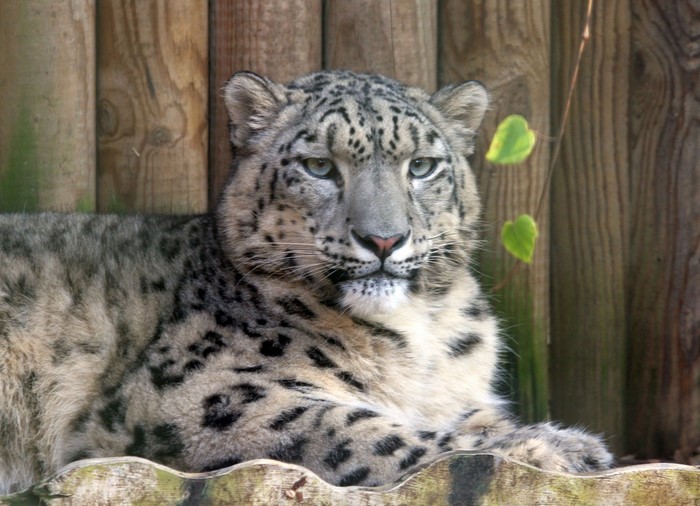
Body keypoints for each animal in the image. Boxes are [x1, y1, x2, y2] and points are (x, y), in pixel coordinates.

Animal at [0, 70, 613, 494]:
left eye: (421, 166)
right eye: (319, 166)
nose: (384, 239)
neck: (421, 338)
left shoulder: (462, 397)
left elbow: (475, 422)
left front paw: (556, 439)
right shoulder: (201, 395)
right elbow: (356, 427)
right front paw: (553, 449)